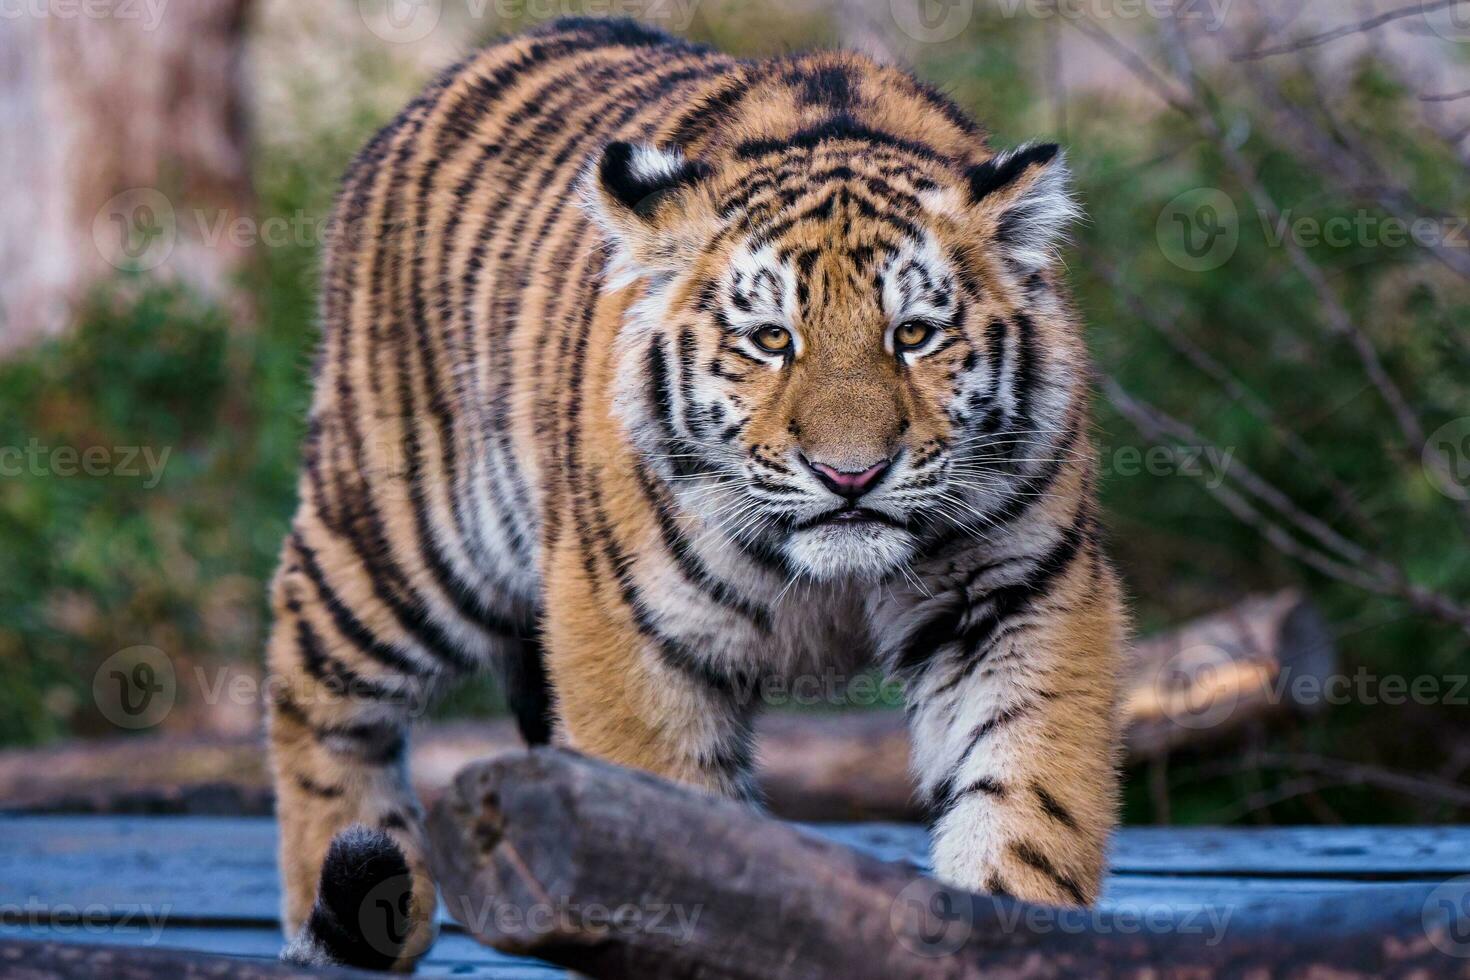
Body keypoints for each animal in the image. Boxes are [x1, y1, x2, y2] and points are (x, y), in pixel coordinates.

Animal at [267, 17, 1123, 975]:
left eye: (913, 335)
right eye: (771, 339)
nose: (851, 474)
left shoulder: (1018, 597)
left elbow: (1024, 802)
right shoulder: (633, 639)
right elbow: (669, 840)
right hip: (404, 535)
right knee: (315, 687)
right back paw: (354, 896)